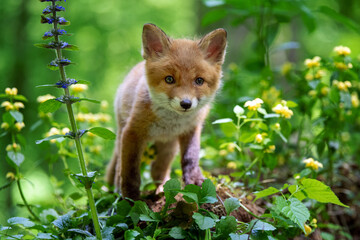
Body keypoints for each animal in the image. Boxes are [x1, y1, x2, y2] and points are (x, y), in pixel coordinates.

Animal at [105, 23, 226, 200]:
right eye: (169, 79)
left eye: (199, 81)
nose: (186, 103)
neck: (170, 122)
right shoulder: (132, 132)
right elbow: (130, 171)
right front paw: (130, 198)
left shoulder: (191, 129)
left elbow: (190, 159)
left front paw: (195, 181)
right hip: (122, 134)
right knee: (117, 167)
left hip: (168, 148)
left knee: (159, 171)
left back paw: (162, 190)